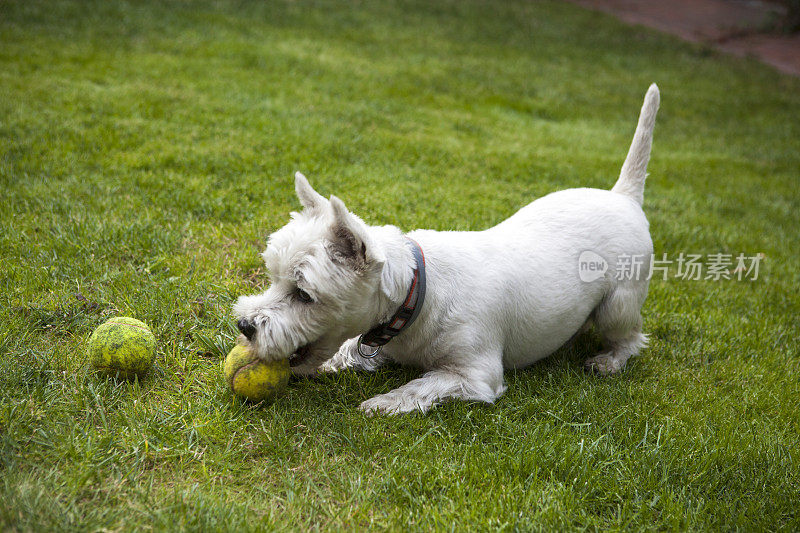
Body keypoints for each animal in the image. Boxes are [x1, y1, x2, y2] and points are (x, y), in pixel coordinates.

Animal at [234, 84, 660, 416]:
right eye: (273, 278)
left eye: (304, 294)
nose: (244, 326)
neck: (415, 293)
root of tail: (623, 196)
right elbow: (348, 350)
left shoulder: (476, 374)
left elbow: (424, 383)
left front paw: (383, 402)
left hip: (618, 303)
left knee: (631, 337)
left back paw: (607, 361)